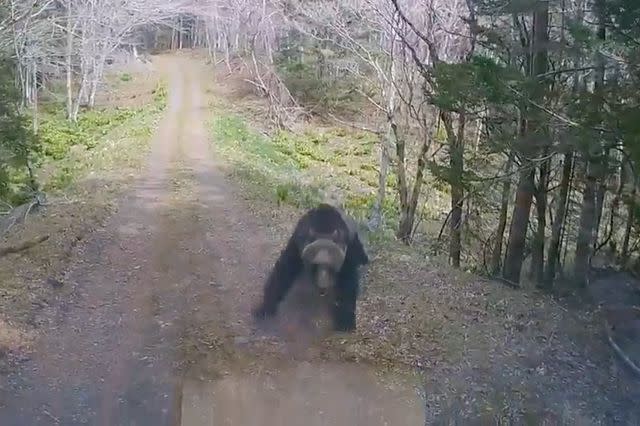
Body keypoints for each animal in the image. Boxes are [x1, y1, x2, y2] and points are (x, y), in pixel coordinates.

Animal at [251, 203, 368, 332]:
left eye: (330, 266)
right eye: (315, 264)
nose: (322, 285)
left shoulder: (348, 249)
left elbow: (348, 282)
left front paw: (345, 321)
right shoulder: (297, 242)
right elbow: (283, 270)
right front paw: (265, 307)